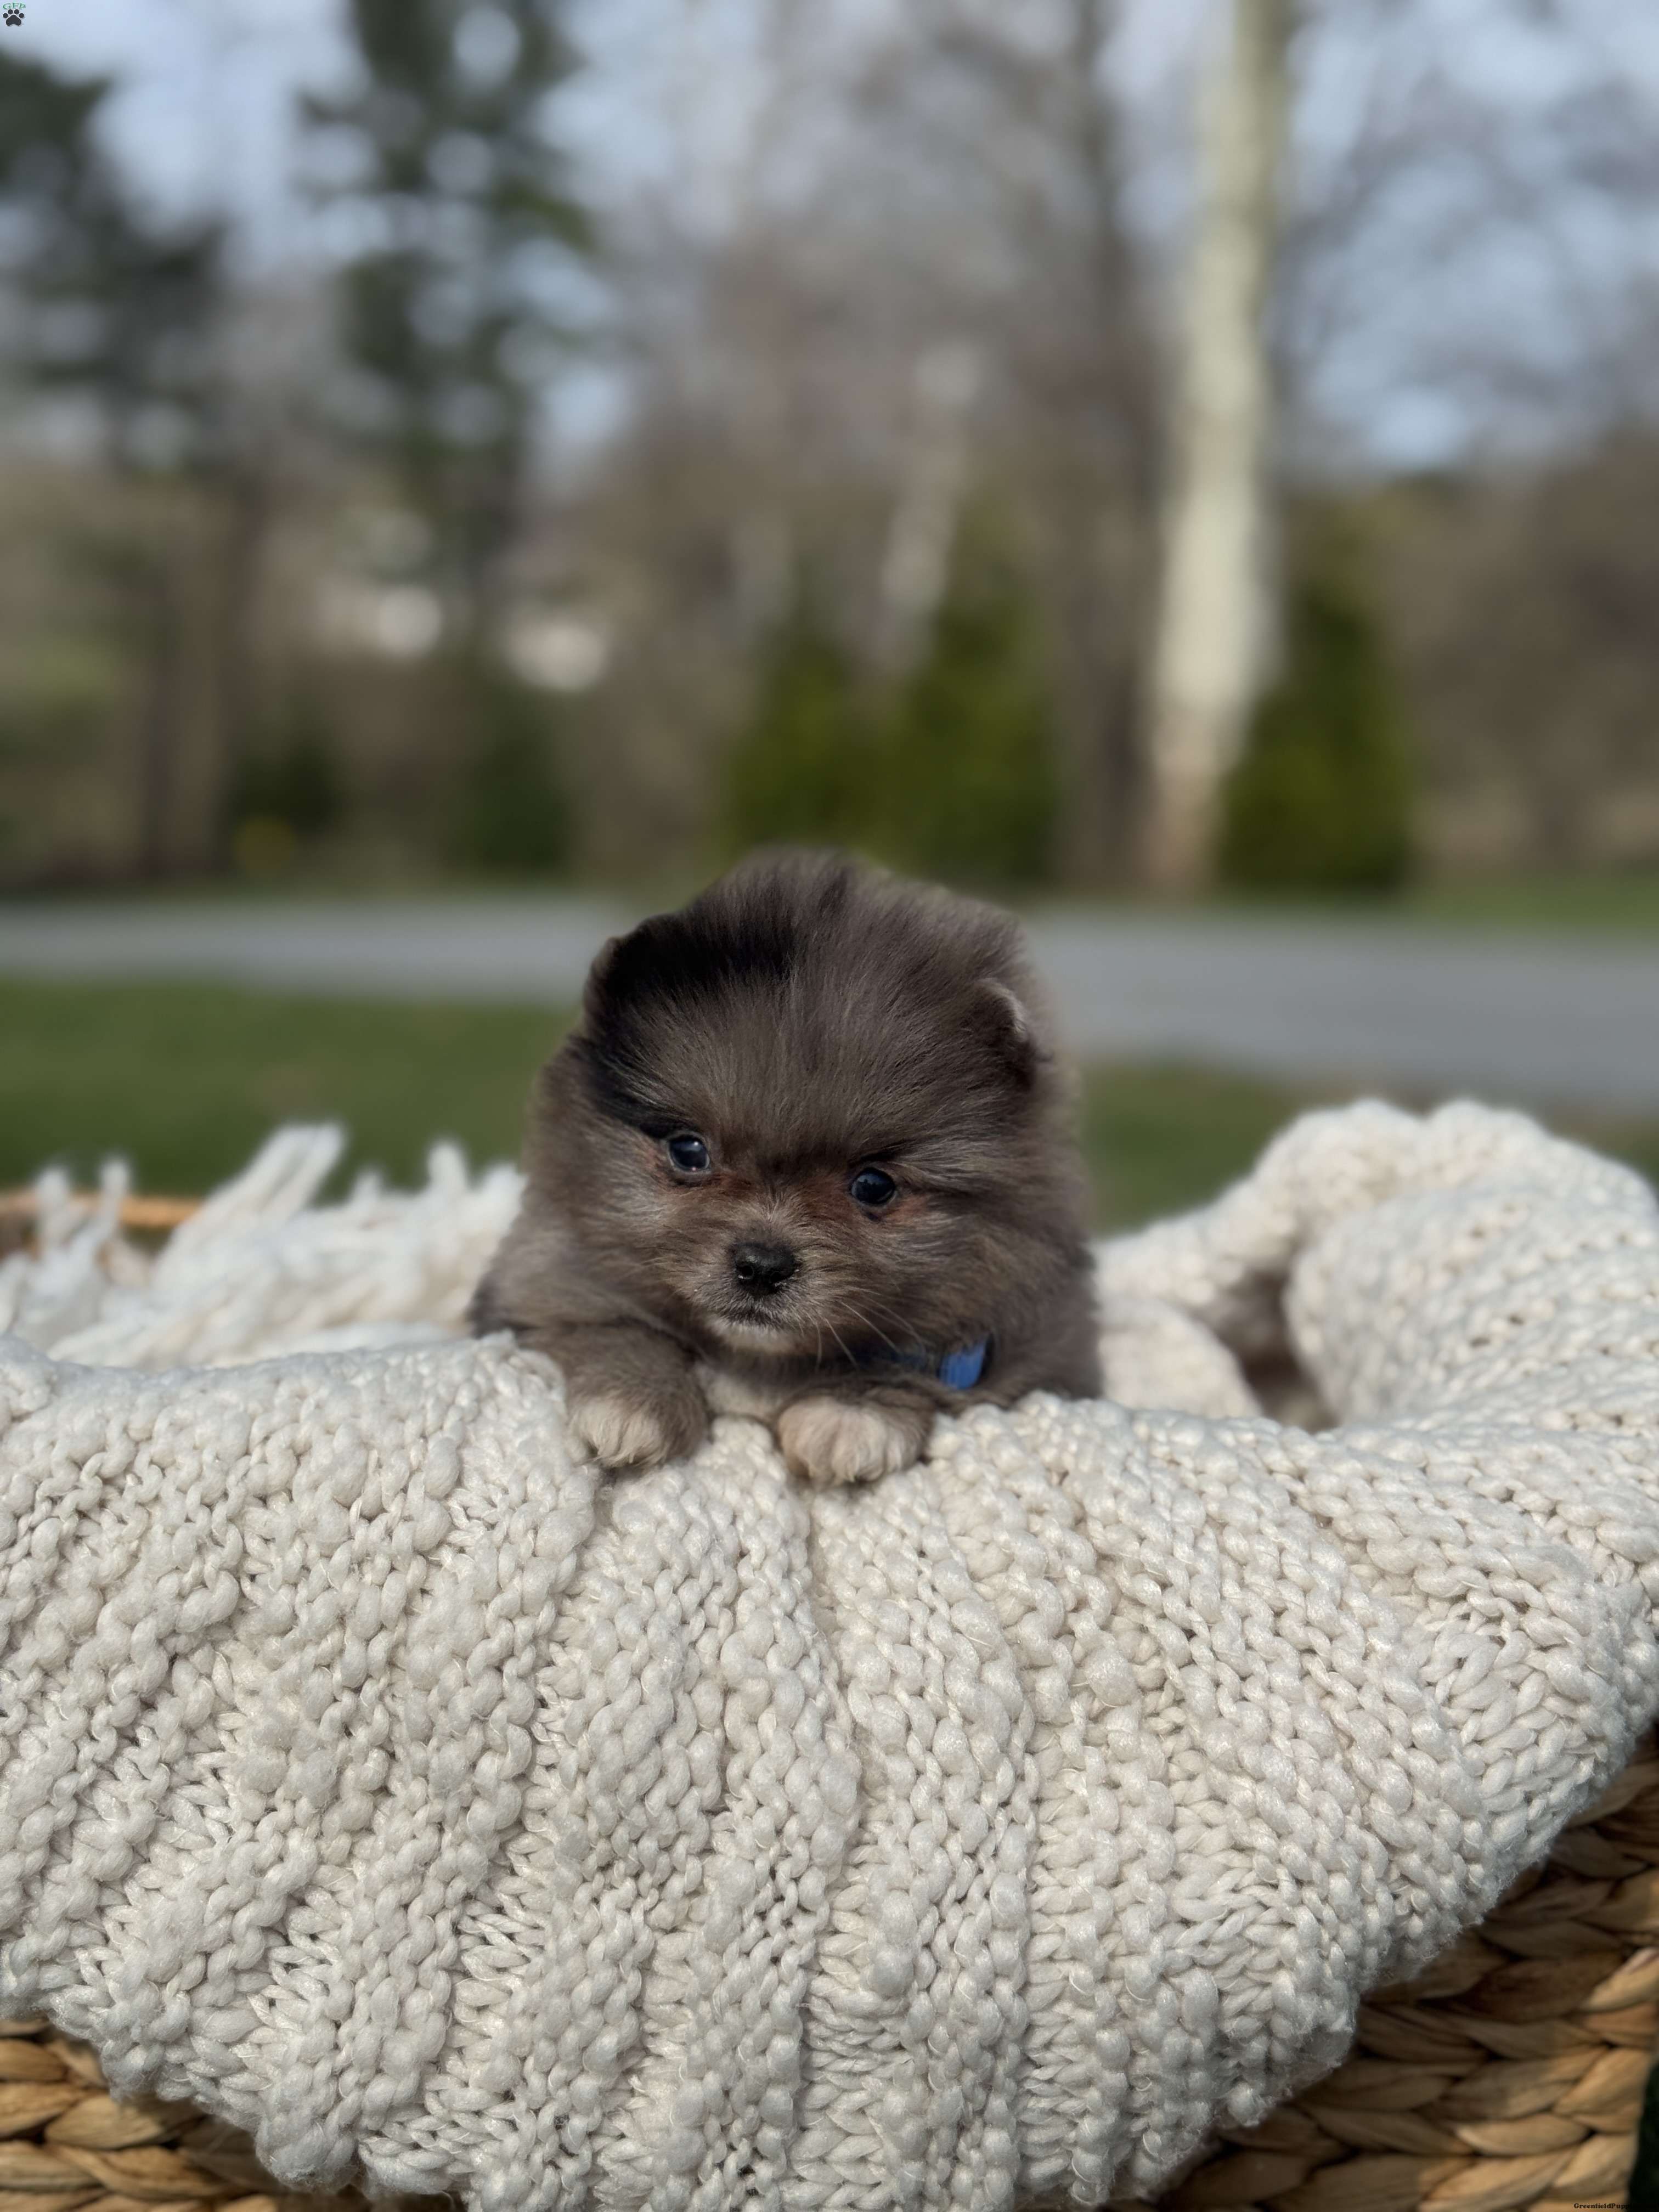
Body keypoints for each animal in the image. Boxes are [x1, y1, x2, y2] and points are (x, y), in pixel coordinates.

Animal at [469, 851, 1101, 1486]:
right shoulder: (539, 1287)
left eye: (873, 1186)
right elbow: (610, 1327)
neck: (752, 1361)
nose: (762, 1267)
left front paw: (850, 1414)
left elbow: (901, 1365)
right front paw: (632, 1403)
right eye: (689, 1152)